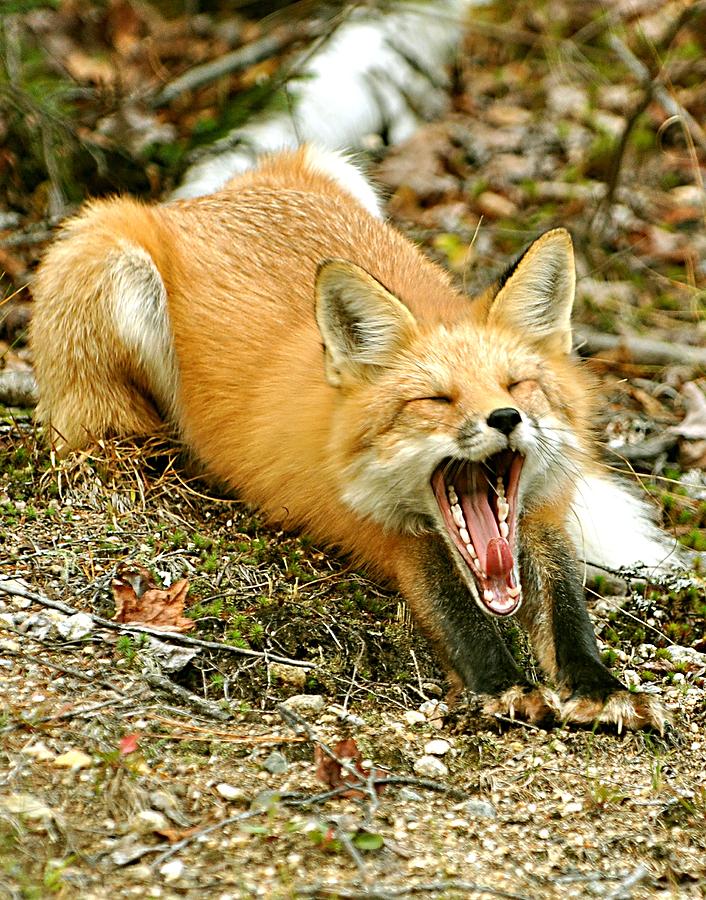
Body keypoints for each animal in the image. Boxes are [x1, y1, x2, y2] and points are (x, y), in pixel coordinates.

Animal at [31, 144, 676, 728]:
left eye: (518, 386)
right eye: (436, 400)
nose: (505, 419)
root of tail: (195, 202)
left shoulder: (542, 509)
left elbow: (566, 608)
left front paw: (598, 687)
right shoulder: (387, 532)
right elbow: (455, 610)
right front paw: (504, 685)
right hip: (112, 270)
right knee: (90, 432)